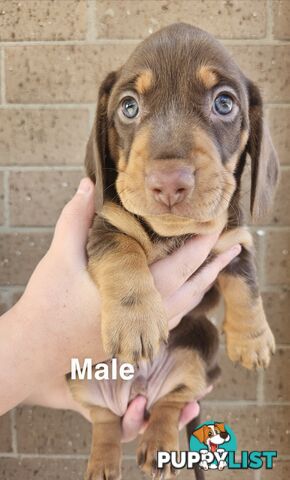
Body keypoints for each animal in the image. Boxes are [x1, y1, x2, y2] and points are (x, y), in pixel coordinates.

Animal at [68, 23, 278, 480]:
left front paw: (252, 340)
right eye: (129, 107)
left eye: (224, 103)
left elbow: (246, 282)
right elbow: (124, 252)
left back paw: (158, 444)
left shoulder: (233, 241)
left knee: (171, 402)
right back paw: (104, 460)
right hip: (79, 376)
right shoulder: (105, 226)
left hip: (200, 348)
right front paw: (136, 322)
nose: (169, 182)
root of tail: (137, 392)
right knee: (104, 420)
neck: (172, 234)